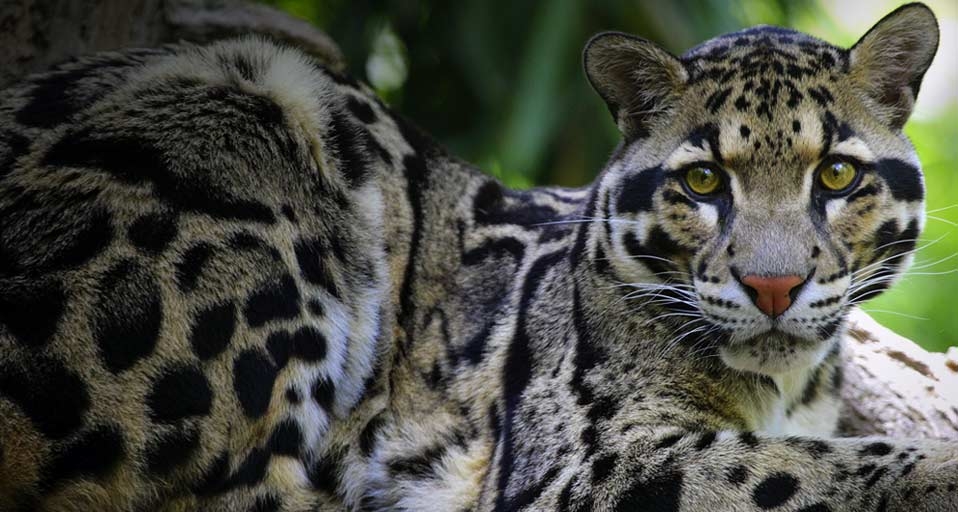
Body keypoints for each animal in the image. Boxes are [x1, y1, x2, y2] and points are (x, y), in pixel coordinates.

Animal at [0, 2, 956, 511]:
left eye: (836, 173)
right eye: (703, 181)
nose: (774, 286)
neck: (786, 380)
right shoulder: (586, 461)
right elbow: (807, 468)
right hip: (252, 115)